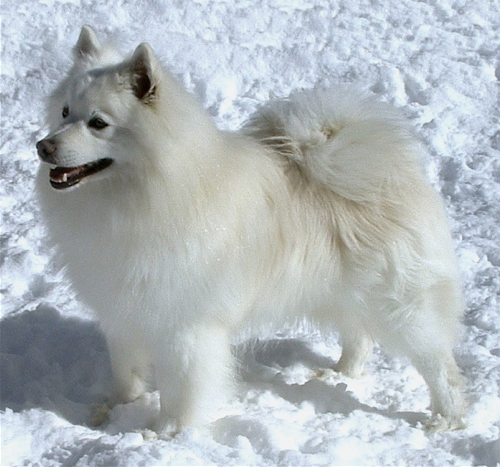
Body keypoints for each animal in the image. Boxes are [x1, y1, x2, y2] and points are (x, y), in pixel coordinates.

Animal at [37, 25, 466, 436]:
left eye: (98, 123)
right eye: (64, 112)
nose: (43, 146)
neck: (144, 192)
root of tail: (391, 166)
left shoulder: (184, 325)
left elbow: (181, 390)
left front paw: (165, 432)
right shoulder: (122, 309)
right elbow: (125, 372)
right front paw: (114, 411)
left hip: (399, 303)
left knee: (439, 363)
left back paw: (445, 418)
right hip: (339, 289)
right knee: (359, 336)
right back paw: (339, 374)